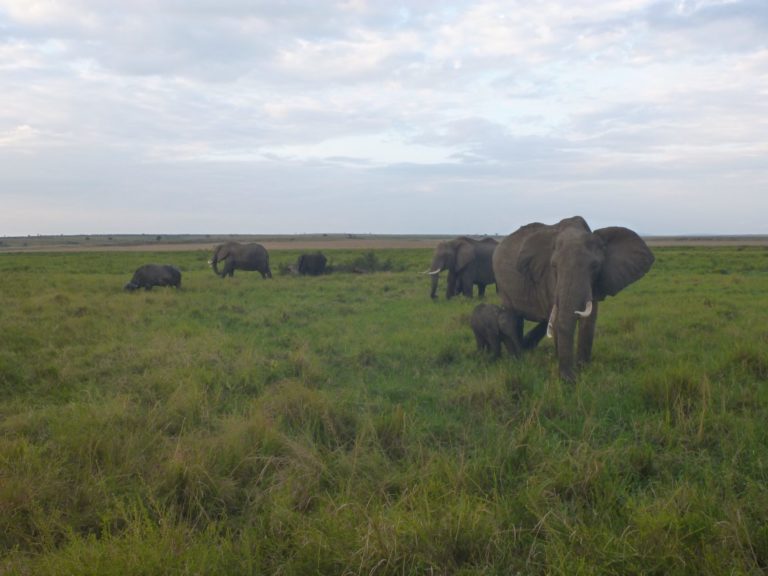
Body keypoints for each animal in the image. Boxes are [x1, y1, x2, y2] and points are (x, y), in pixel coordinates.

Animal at [492, 216, 656, 382]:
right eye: (554, 266)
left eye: (595, 266)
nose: (571, 378)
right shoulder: (548, 279)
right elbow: (558, 319)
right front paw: (566, 371)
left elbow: (589, 321)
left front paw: (583, 368)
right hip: (503, 283)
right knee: (512, 317)